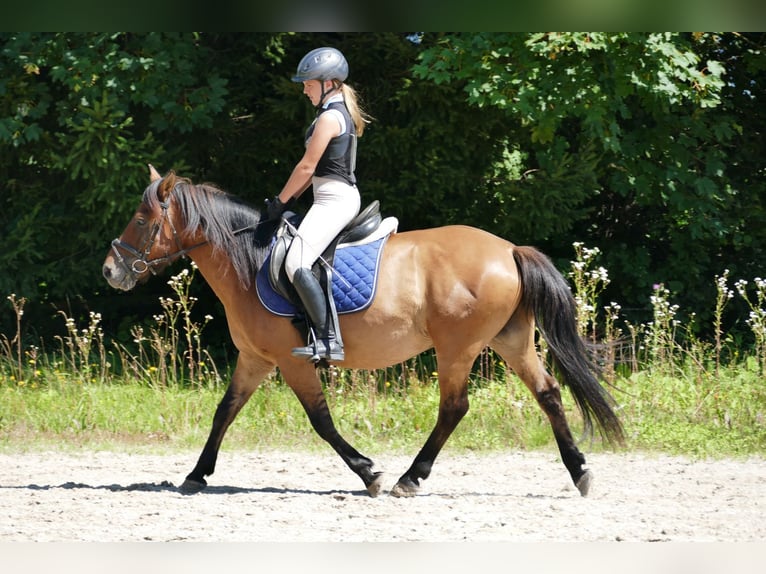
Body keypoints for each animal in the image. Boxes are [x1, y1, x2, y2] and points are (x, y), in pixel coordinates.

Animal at [102, 165, 628, 500]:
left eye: (143, 220)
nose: (110, 271)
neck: (249, 261)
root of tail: (508, 249)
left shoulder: (291, 361)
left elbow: (321, 421)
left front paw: (368, 473)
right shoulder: (256, 359)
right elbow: (224, 412)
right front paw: (196, 474)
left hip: (458, 347)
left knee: (454, 407)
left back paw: (409, 479)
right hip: (510, 341)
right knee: (549, 393)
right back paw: (580, 472)